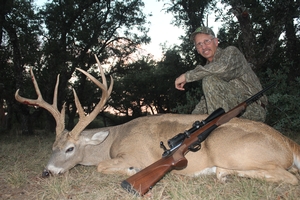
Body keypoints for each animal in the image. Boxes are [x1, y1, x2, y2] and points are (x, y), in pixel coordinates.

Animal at [15, 54, 300, 184]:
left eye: (70, 148)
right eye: (53, 146)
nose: (47, 171)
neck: (113, 140)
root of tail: (289, 143)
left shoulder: (134, 154)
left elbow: (102, 166)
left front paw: (131, 171)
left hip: (232, 150)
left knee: (290, 177)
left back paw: (222, 173)